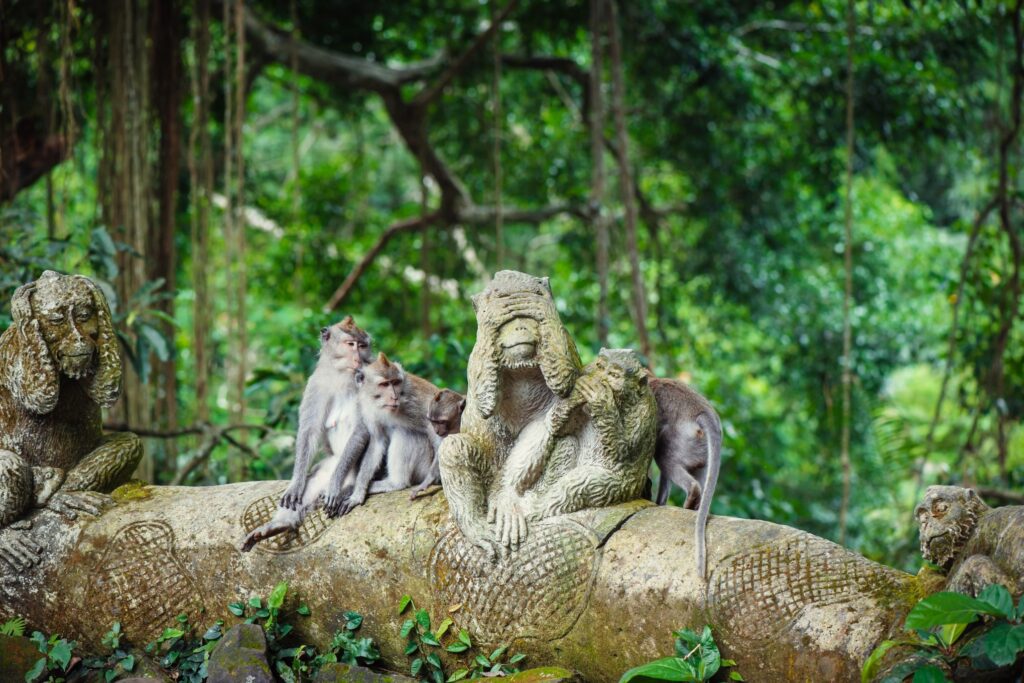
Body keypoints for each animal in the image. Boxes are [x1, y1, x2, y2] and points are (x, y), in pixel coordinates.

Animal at [237, 317, 370, 552]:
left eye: (362, 346)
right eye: (351, 344)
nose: (358, 358)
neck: (342, 375)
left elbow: (361, 430)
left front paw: (335, 488)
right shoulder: (315, 383)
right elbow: (309, 431)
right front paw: (295, 484)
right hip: (326, 467)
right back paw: (279, 525)